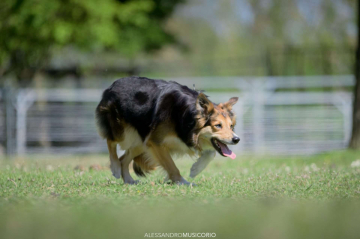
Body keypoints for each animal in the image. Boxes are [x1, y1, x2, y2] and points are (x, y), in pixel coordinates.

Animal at [96, 76, 239, 185]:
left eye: (231, 126)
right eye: (218, 125)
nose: (236, 139)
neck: (186, 116)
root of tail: (113, 85)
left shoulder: (158, 141)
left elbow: (211, 153)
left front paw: (195, 169)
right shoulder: (155, 142)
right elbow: (172, 167)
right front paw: (182, 182)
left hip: (141, 140)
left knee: (124, 159)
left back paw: (129, 180)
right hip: (124, 132)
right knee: (110, 141)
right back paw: (115, 168)